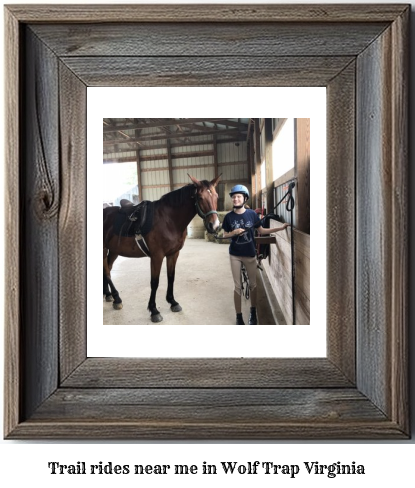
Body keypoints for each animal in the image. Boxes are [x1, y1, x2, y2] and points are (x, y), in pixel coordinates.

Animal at [103, 173, 221, 322]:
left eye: (216, 196)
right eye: (200, 197)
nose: (214, 226)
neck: (168, 220)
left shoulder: (173, 254)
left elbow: (171, 277)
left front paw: (173, 302)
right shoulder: (157, 256)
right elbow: (155, 282)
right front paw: (154, 310)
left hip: (114, 250)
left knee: (107, 268)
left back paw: (109, 295)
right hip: (104, 249)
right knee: (107, 271)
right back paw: (117, 298)